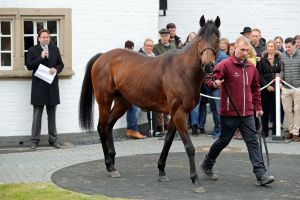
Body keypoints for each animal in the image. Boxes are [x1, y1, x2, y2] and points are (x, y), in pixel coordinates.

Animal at [79, 15, 220, 191]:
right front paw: (195, 180)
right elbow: (189, 147)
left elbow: (168, 141)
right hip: (104, 101)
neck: (183, 71)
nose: (208, 65)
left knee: (109, 125)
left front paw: (161, 171)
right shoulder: (179, 114)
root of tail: (102, 56)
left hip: (122, 102)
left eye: (217, 39)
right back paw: (110, 166)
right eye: (200, 40)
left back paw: (112, 162)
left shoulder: (176, 114)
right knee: (102, 127)